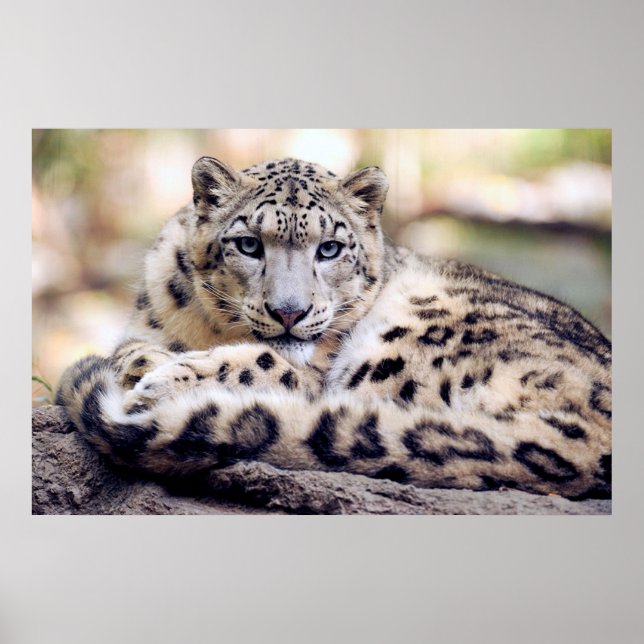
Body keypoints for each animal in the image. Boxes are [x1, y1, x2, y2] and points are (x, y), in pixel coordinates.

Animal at [55, 156, 612, 500]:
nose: (289, 311)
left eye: (330, 248)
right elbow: (132, 348)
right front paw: (145, 364)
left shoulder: (312, 370)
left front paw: (161, 380)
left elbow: (266, 363)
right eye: (248, 244)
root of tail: (596, 441)